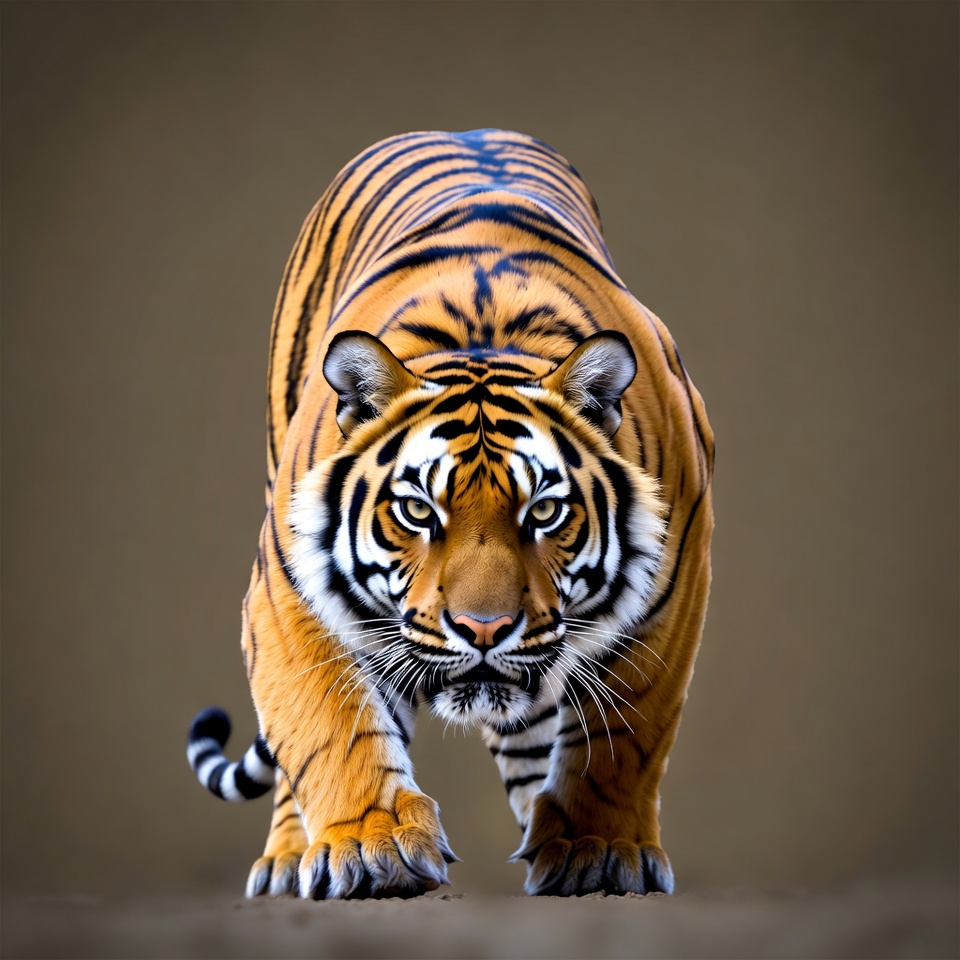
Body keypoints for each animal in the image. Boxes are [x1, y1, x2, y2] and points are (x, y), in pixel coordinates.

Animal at [187, 129, 714, 900]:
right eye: (416, 510)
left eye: (545, 512)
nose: (484, 629)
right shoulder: (286, 590)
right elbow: (327, 723)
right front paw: (371, 845)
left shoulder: (675, 583)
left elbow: (628, 730)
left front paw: (595, 847)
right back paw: (289, 858)